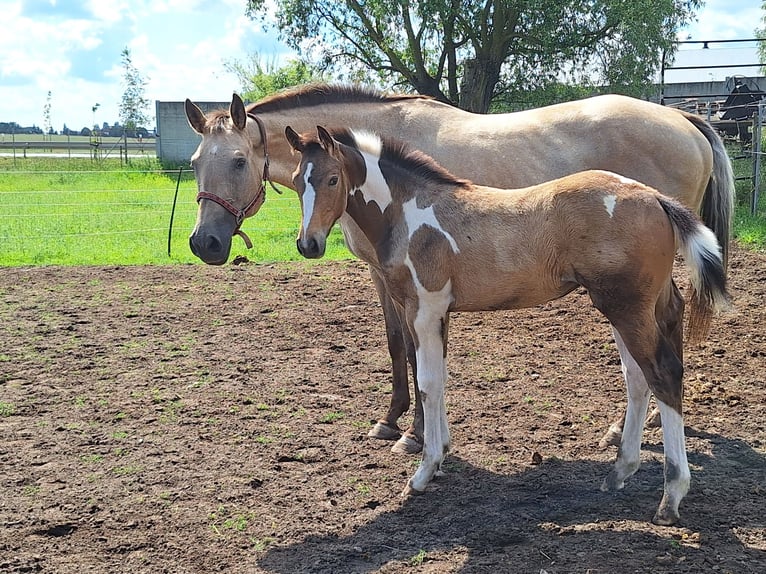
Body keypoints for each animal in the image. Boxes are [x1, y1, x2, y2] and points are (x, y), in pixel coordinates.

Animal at [184, 84, 734, 454]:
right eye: (193, 163)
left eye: (237, 161)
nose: (204, 243)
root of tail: (684, 118)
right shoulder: (384, 276)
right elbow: (395, 343)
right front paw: (391, 419)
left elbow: (410, 349)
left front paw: (411, 432)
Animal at [284, 124, 729, 526]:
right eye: (294, 182)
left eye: (332, 179)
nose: (308, 245)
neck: (408, 214)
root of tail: (655, 197)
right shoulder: (437, 312)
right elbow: (440, 379)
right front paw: (441, 455)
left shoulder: (424, 308)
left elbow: (427, 383)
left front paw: (423, 472)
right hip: (628, 306)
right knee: (637, 377)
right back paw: (619, 472)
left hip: (627, 307)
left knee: (663, 374)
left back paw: (670, 497)